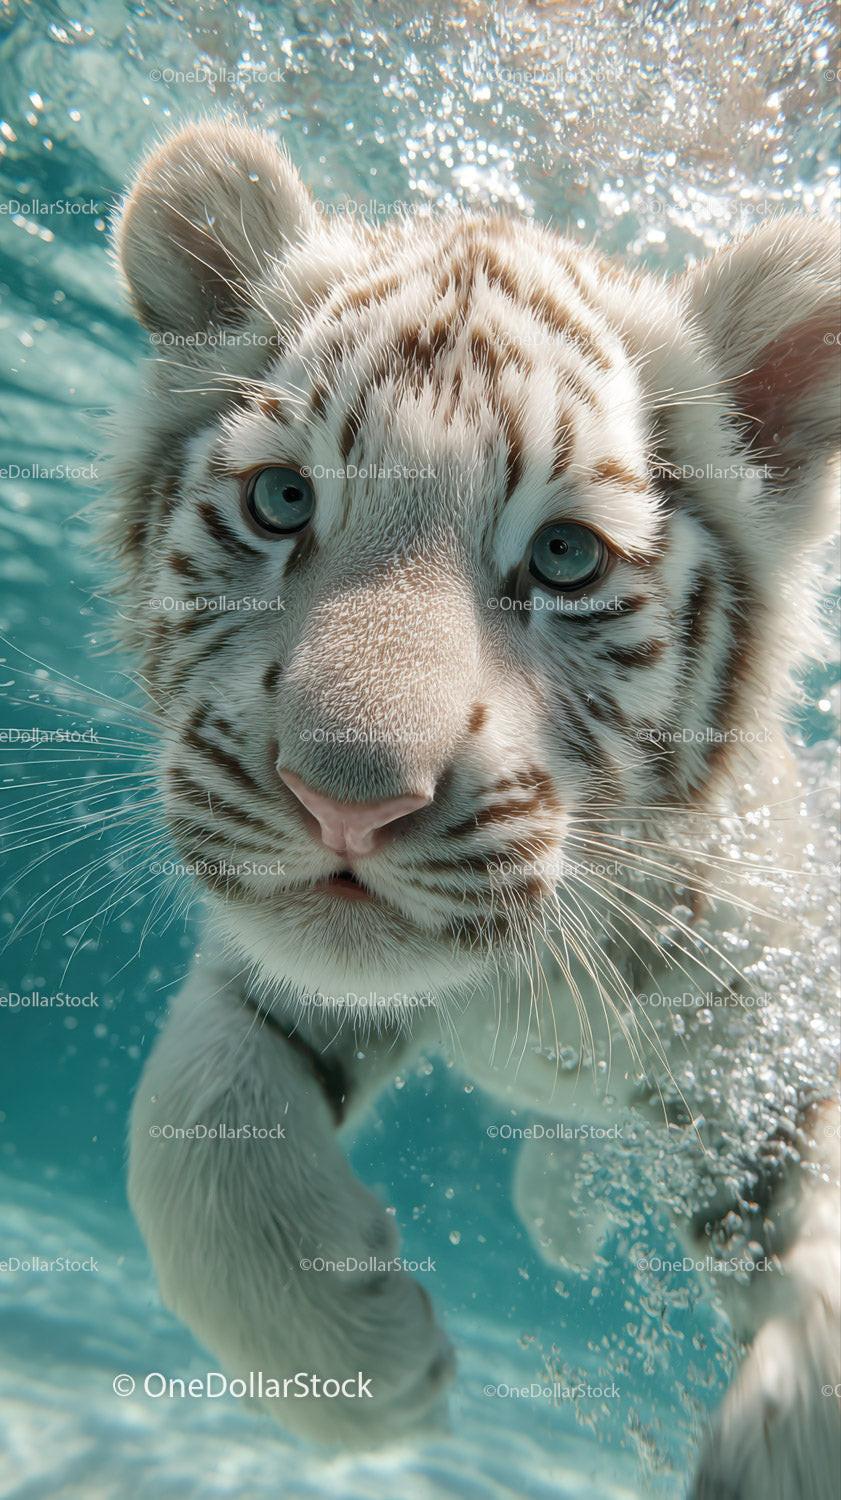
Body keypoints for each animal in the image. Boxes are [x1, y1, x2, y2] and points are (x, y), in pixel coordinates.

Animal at [108, 120, 840, 1497]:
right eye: (282, 501)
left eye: (565, 559)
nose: (343, 800)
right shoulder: (272, 980)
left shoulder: (781, 1037)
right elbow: (187, 1121)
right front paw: (366, 1374)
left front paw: (777, 1447)